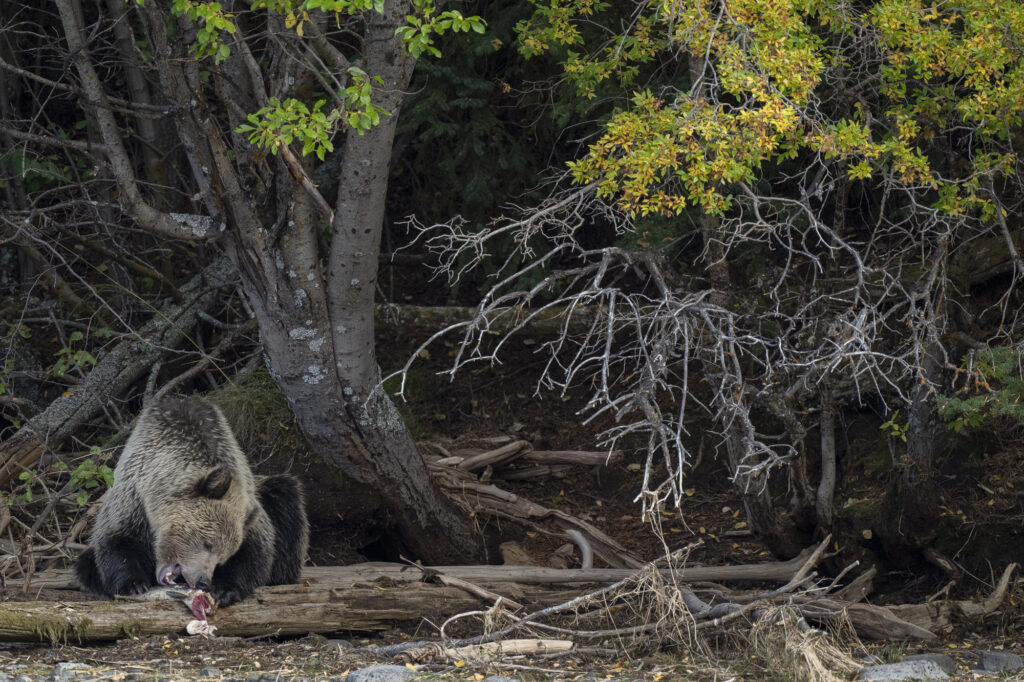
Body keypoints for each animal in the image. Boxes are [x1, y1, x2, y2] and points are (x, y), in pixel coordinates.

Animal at [74, 396, 308, 607]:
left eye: (223, 556)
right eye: (207, 542)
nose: (203, 581)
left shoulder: (247, 509)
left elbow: (257, 550)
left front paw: (225, 590)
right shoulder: (132, 496)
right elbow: (117, 539)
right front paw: (133, 584)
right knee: (85, 564)